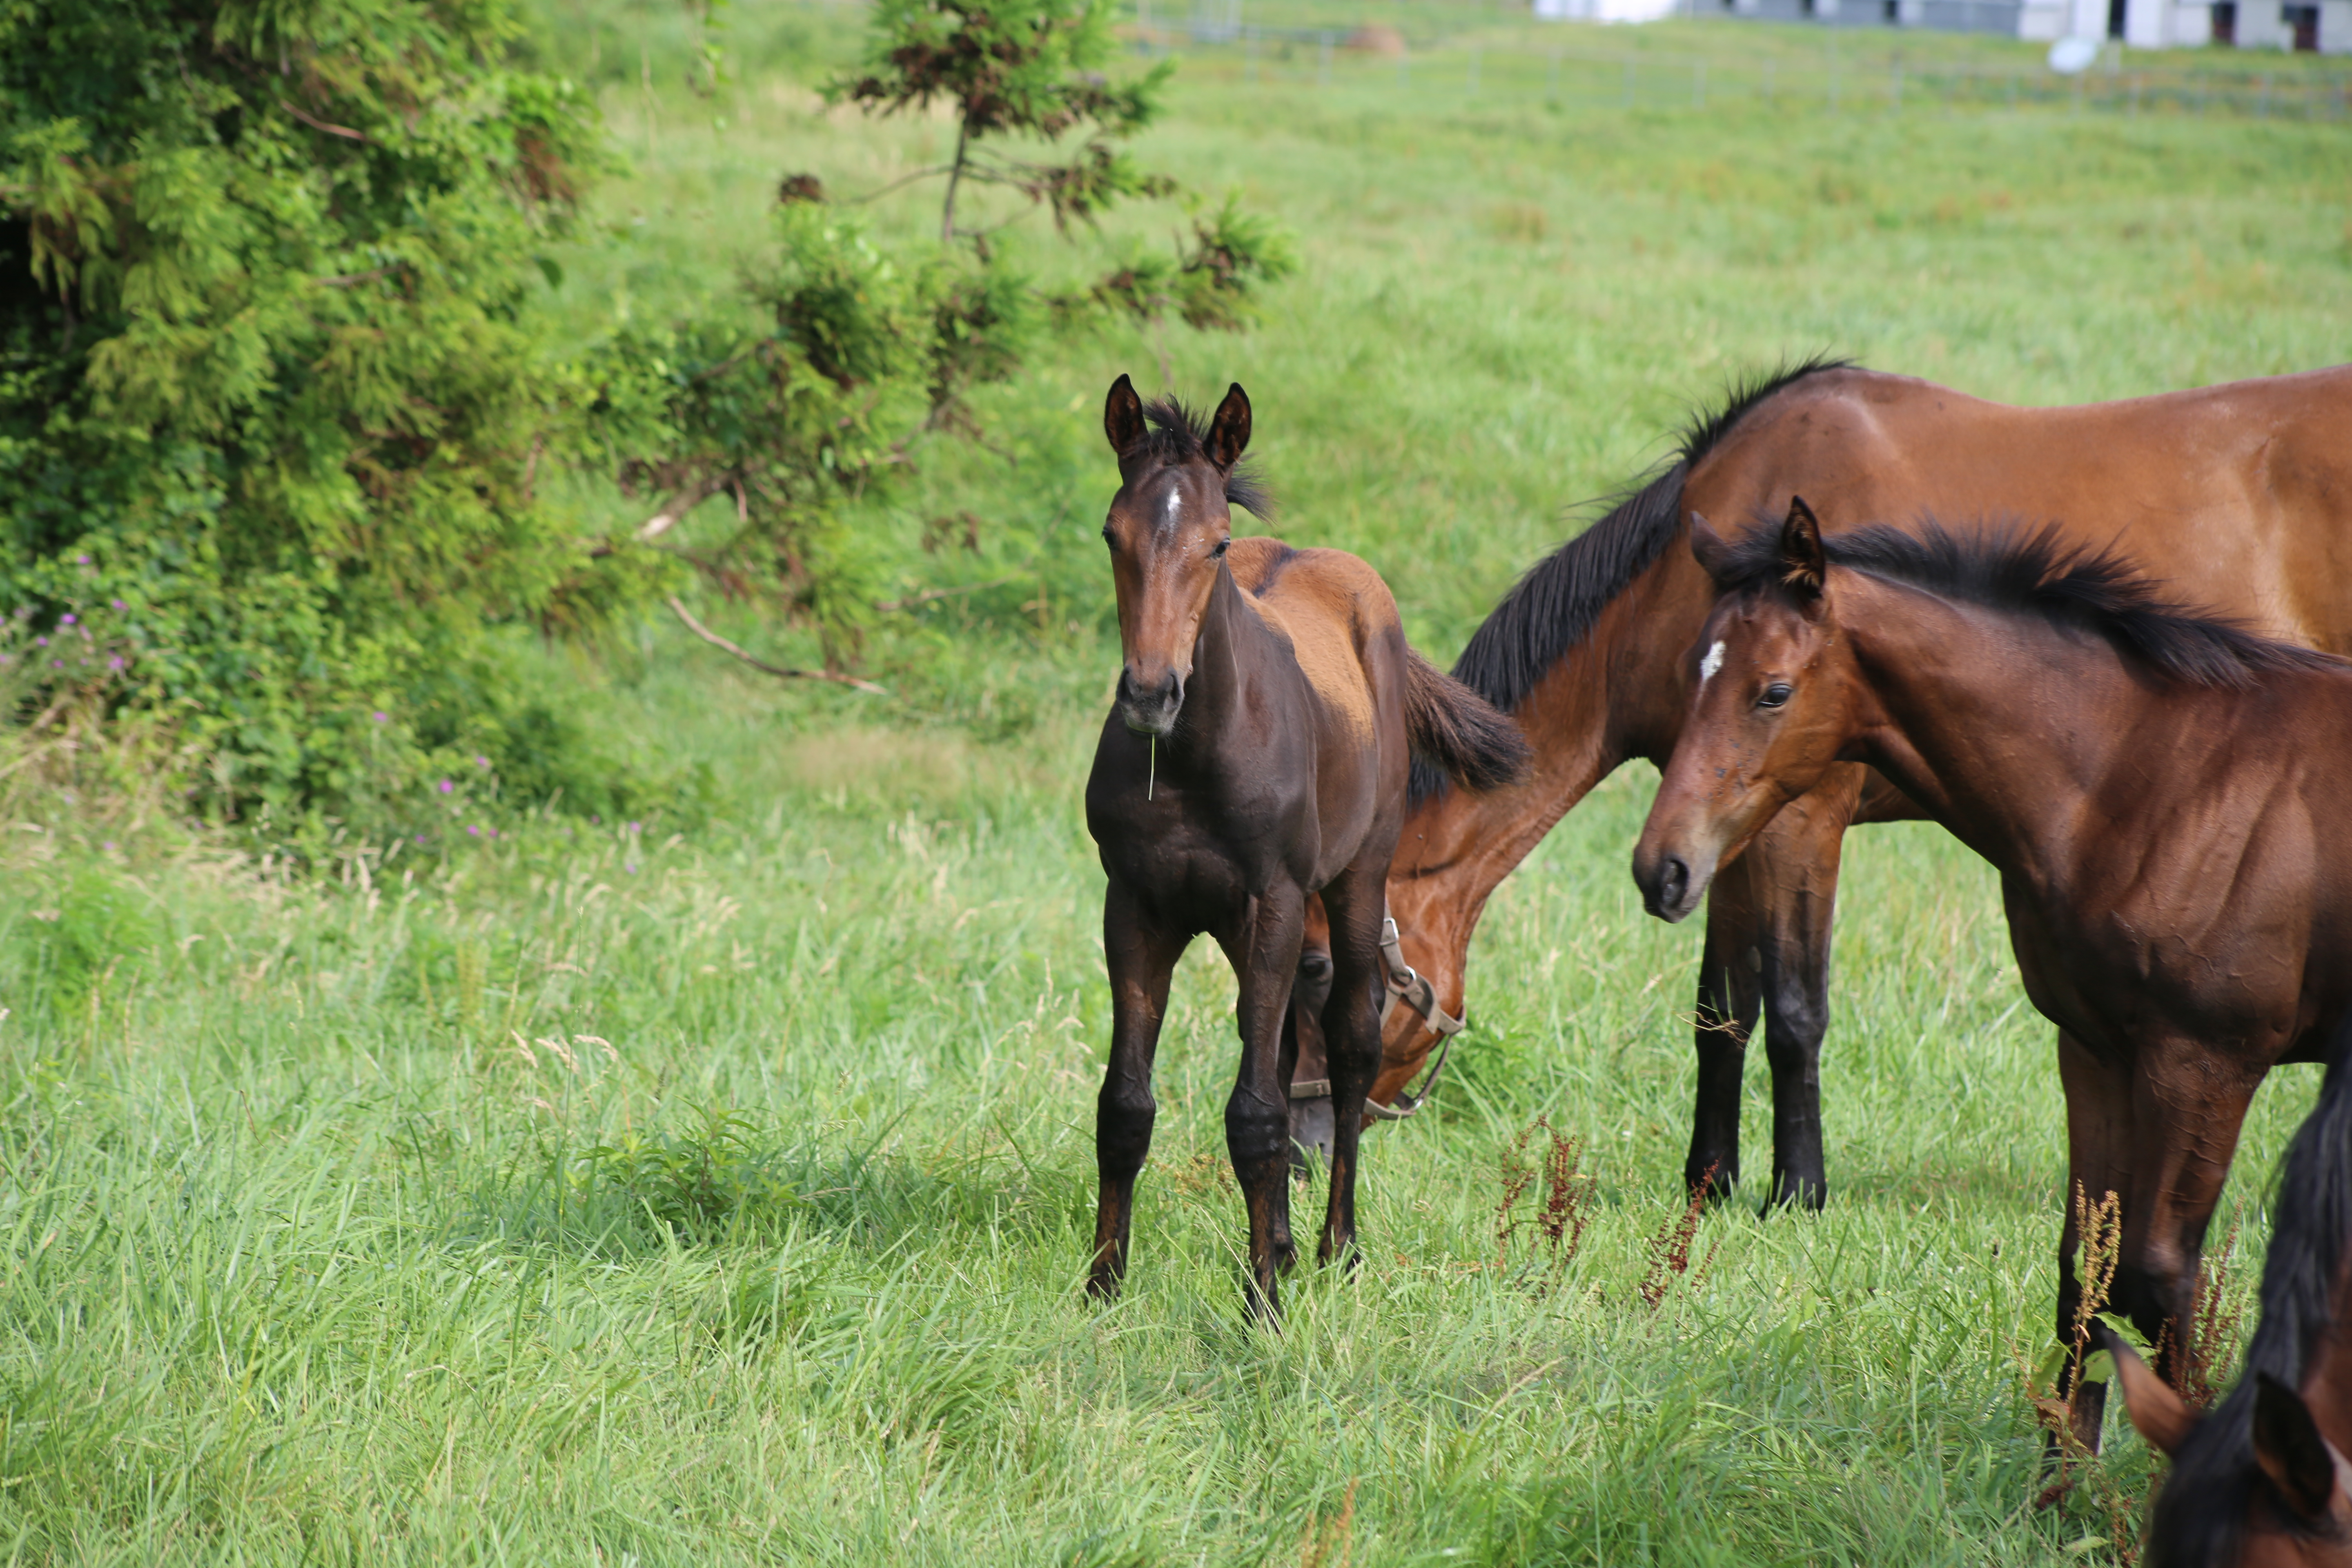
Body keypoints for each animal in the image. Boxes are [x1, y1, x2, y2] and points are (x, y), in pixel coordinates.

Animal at [1082, 374, 1524, 1316]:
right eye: (1112, 534)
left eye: (1215, 545)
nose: (1149, 694)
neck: (1194, 756)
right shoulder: (1133, 905)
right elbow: (1127, 1105)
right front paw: (1102, 1287)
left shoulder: (1274, 902)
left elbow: (1256, 1111)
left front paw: (1261, 1309)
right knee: (1286, 1054)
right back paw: (1285, 1247)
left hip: (1355, 882)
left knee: (1348, 1049)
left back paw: (1335, 1248)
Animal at [1336, 362, 2352, 1213]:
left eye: (1345, 979)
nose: (1313, 1143)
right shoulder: (1715, 832)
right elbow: (1721, 1011)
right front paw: (1708, 1184)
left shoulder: (1802, 821)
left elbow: (1793, 1011)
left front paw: (1797, 1191)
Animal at [1637, 503, 2352, 1448]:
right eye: (1690, 672)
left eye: (1774, 691)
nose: (1663, 869)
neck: (2155, 779)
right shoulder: (2095, 1049)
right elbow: (2086, 1270)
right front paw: (2062, 1475)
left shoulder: (2207, 1063)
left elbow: (2161, 1277)